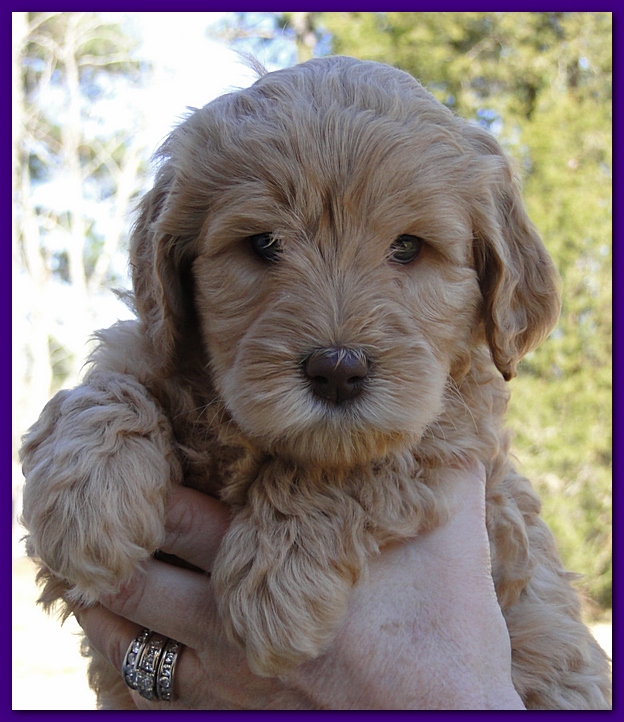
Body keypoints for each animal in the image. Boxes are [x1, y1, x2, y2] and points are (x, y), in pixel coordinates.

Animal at [20, 56, 611, 709]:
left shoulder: (462, 429)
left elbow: (366, 458)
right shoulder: (152, 348)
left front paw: (278, 581)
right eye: (263, 243)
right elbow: (102, 387)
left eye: (408, 247)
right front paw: (87, 504)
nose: (337, 371)